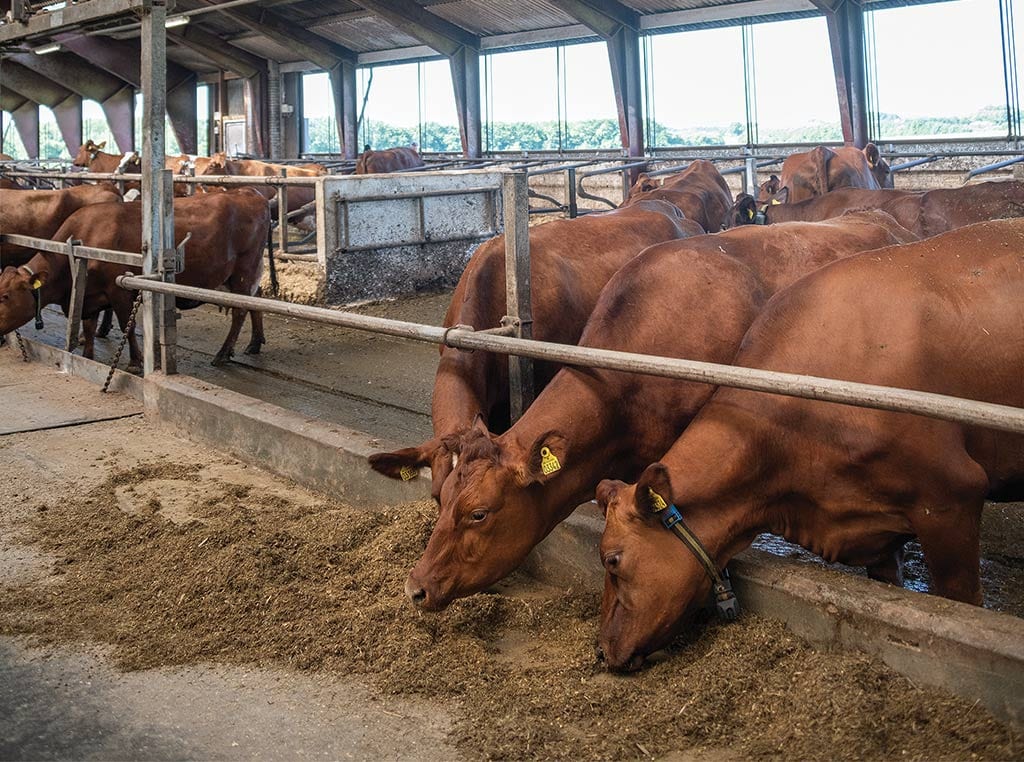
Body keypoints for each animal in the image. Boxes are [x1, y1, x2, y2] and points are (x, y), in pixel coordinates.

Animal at [0, 189, 270, 368]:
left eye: (5, 296)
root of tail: (250, 192)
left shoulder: (119, 291)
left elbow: (125, 326)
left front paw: (136, 361)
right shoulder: (89, 294)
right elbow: (88, 327)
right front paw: (88, 357)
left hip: (244, 271)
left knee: (240, 311)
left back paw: (223, 354)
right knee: (255, 302)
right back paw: (254, 343)